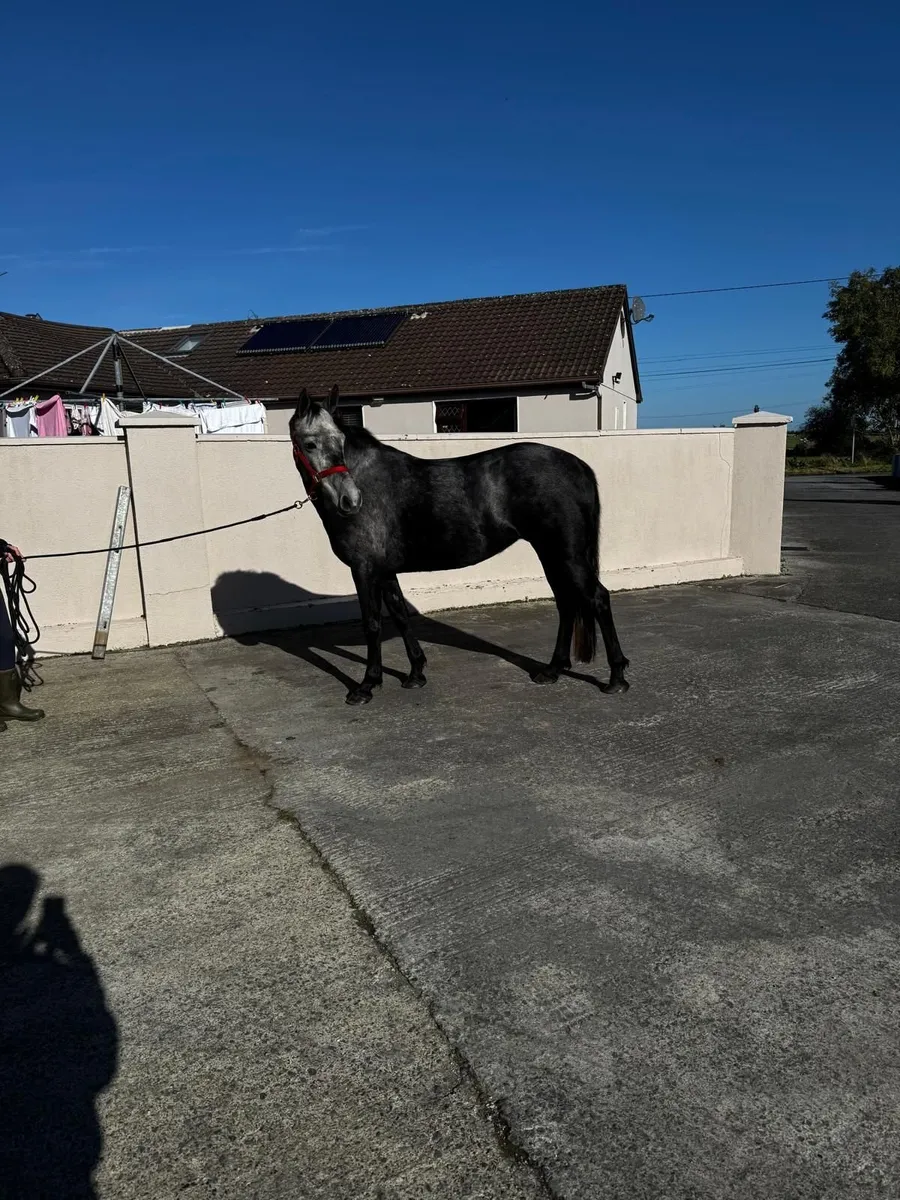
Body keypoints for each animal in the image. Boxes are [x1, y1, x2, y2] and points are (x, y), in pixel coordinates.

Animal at [290, 385, 629, 705]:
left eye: (340, 441)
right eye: (310, 444)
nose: (350, 500)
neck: (369, 483)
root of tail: (578, 465)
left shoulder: (364, 570)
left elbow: (371, 624)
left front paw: (366, 686)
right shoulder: (384, 571)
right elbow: (400, 615)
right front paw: (415, 673)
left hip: (567, 555)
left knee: (598, 598)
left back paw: (616, 678)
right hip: (552, 553)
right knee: (566, 603)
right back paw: (553, 670)